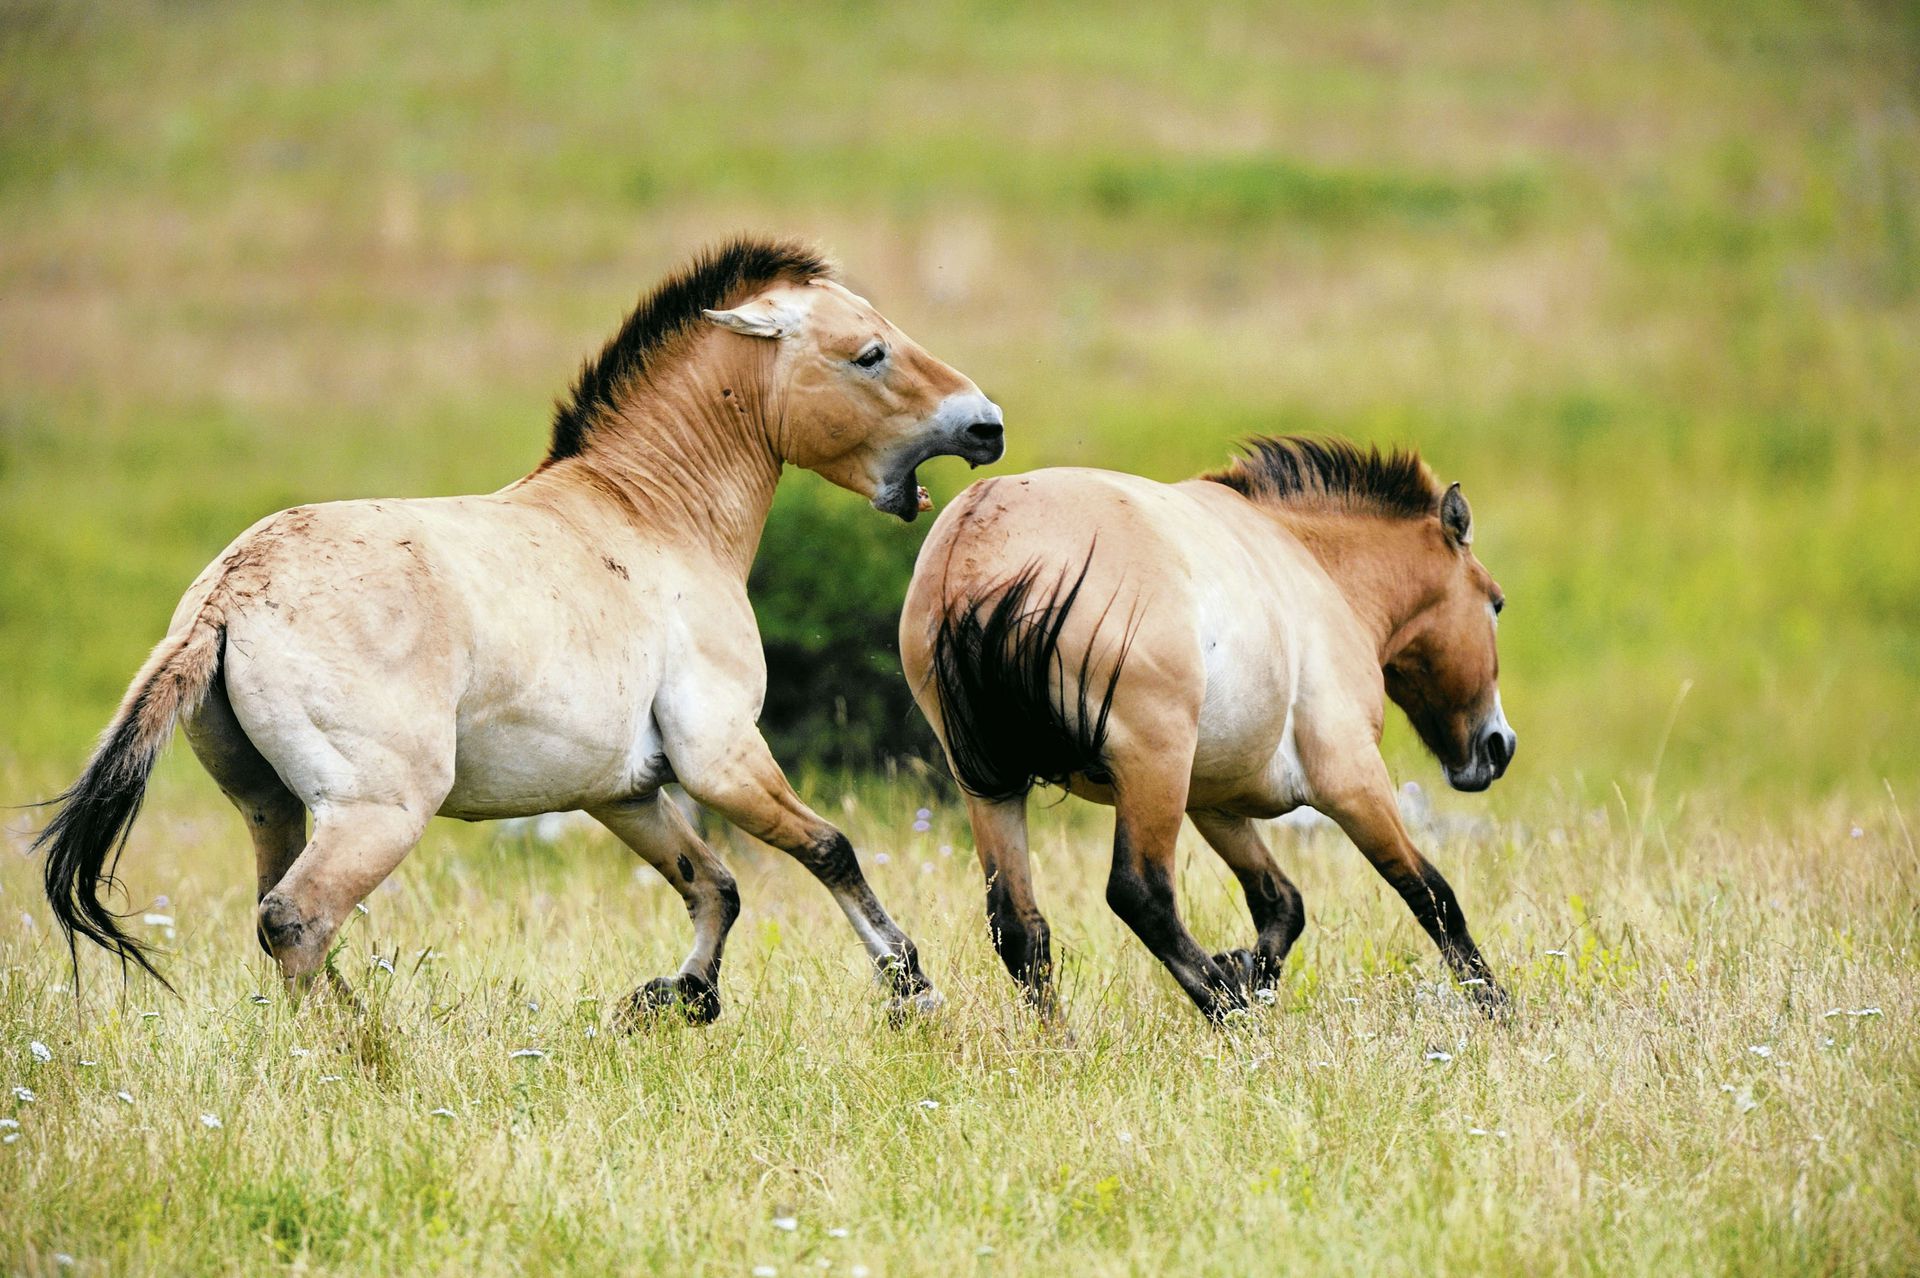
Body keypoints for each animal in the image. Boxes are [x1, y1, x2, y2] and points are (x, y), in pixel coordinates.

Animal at [41, 236, 1006, 1013]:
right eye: (870, 353)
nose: (985, 425)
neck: (650, 516)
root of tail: (227, 596)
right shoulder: (723, 757)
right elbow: (828, 849)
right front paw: (910, 986)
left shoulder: (623, 789)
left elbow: (714, 885)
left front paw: (680, 998)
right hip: (378, 811)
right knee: (298, 919)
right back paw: (365, 1051)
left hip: (269, 805)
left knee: (278, 917)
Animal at [898, 435, 1512, 1013]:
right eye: (1496, 604)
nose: (1498, 746)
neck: (1314, 568)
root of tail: (978, 548)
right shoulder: (1351, 780)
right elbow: (1430, 895)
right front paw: (1495, 1005)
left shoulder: (1215, 802)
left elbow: (1281, 903)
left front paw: (1251, 969)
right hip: (1152, 771)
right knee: (1140, 895)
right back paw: (1227, 1010)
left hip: (991, 787)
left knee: (1018, 927)